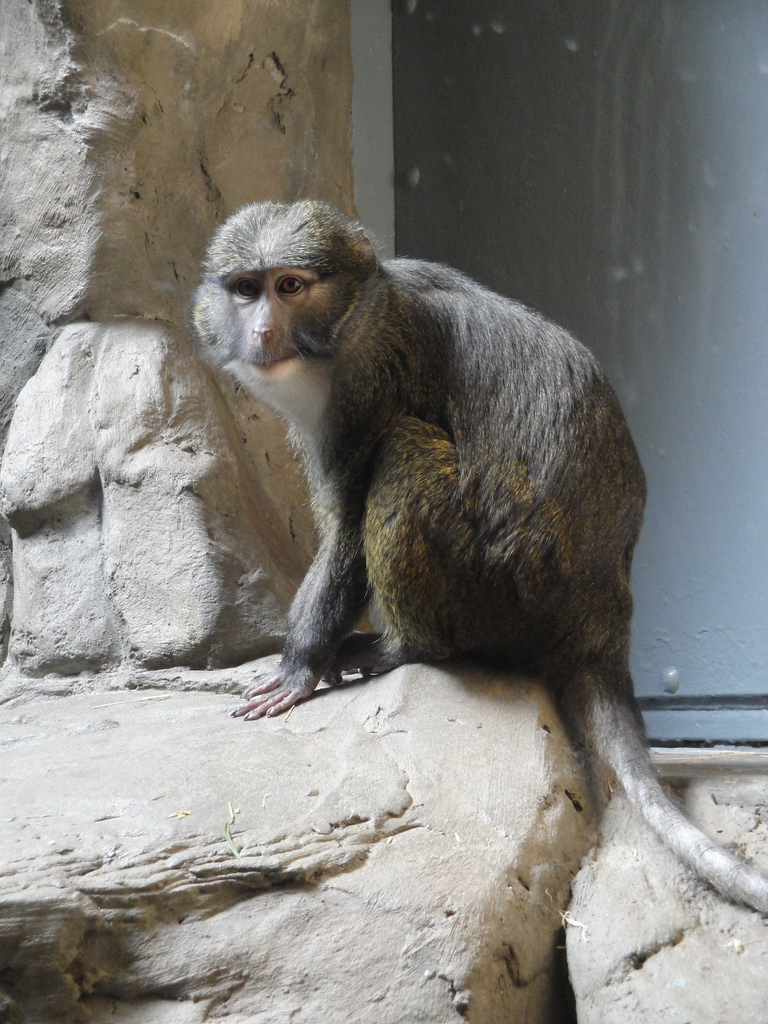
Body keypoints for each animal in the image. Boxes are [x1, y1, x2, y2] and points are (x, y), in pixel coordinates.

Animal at [190, 199, 768, 916]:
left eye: (290, 286)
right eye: (246, 289)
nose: (264, 328)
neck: (353, 317)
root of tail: (603, 619)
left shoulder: (378, 371)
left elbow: (349, 526)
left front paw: (299, 666)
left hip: (497, 597)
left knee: (405, 452)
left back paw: (404, 647)